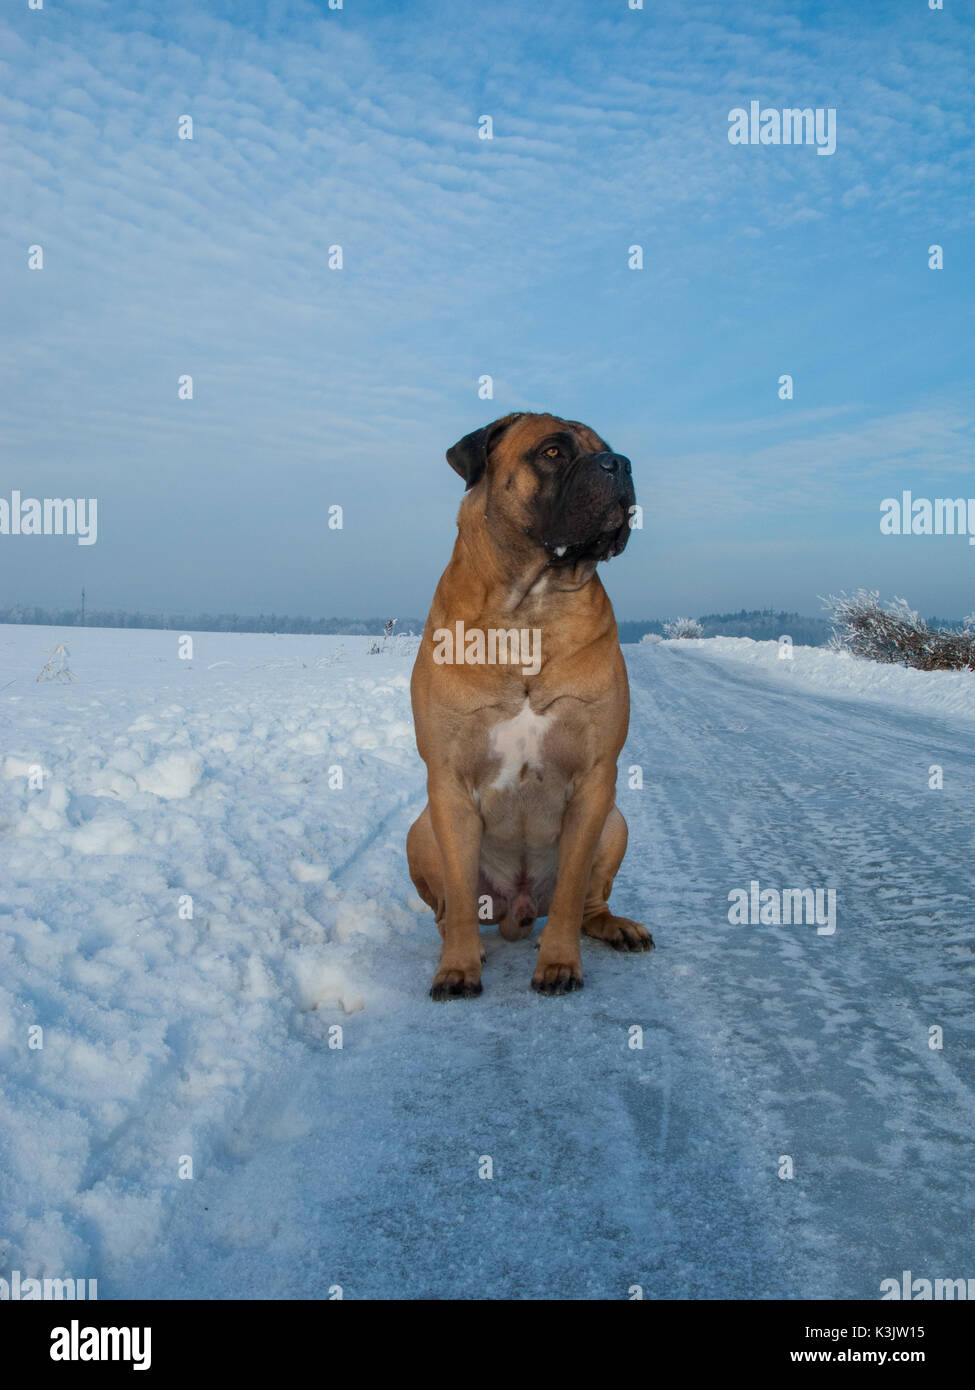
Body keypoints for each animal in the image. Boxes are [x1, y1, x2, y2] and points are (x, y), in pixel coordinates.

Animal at [406, 411, 650, 1000]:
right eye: (553, 452)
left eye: (607, 449)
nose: (621, 464)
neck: (531, 604)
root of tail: (516, 910)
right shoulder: (446, 780)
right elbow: (458, 891)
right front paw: (457, 968)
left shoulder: (595, 779)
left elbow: (568, 895)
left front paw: (559, 963)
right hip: (420, 829)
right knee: (447, 908)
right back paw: (464, 943)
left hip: (616, 821)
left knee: (588, 904)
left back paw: (616, 928)